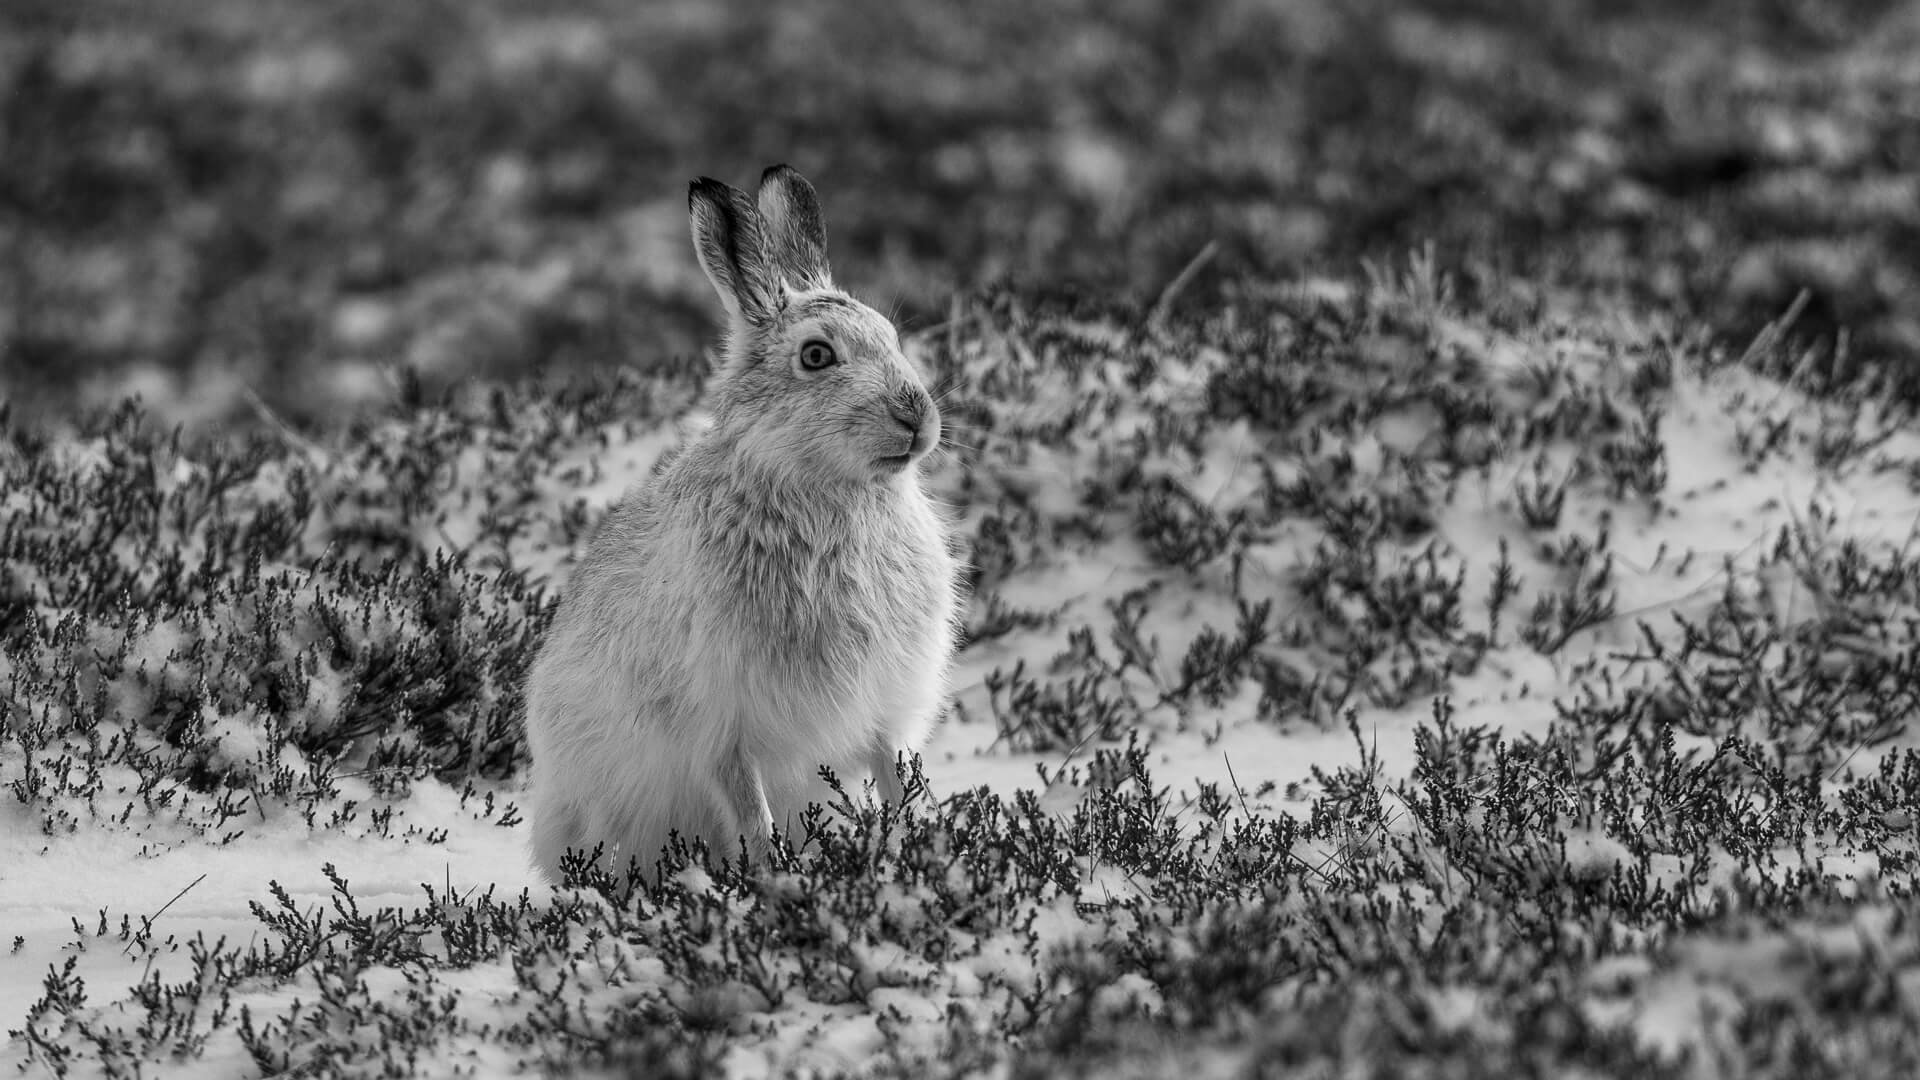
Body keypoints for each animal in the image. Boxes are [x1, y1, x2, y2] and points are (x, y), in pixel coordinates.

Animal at [524, 164, 962, 884]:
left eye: (892, 339)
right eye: (816, 356)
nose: (917, 417)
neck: (827, 490)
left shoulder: (884, 708)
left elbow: (896, 778)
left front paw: (923, 847)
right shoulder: (725, 727)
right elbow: (749, 809)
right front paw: (776, 876)